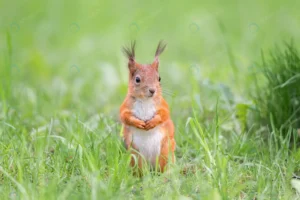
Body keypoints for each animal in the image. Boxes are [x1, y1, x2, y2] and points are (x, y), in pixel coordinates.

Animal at [119, 41, 176, 173]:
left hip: (165, 151)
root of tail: (151, 166)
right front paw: (138, 123)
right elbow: (124, 116)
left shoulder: (162, 104)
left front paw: (152, 122)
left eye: (159, 78)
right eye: (137, 79)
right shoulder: (125, 106)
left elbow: (164, 114)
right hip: (135, 155)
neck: (145, 100)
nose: (152, 90)